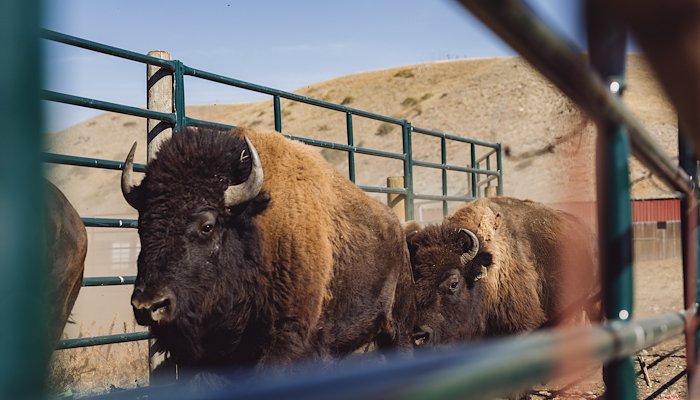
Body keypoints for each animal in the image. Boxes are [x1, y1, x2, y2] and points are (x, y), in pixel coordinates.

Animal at [120, 126, 415, 374]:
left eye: (207, 226)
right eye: (141, 225)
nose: (149, 305)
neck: (254, 227)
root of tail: (396, 225)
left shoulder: (287, 337)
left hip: (397, 325)